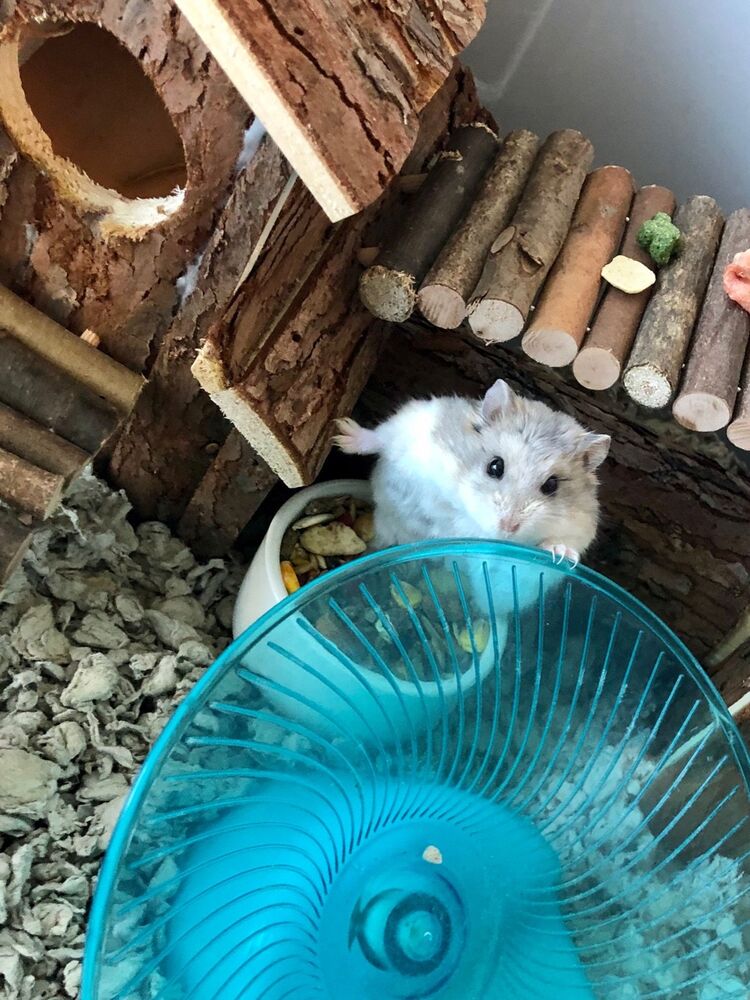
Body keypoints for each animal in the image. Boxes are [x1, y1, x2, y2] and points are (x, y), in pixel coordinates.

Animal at [334, 376, 612, 568]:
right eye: (495, 466)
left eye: (552, 485)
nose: (507, 527)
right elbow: (381, 439)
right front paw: (341, 432)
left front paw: (561, 553)